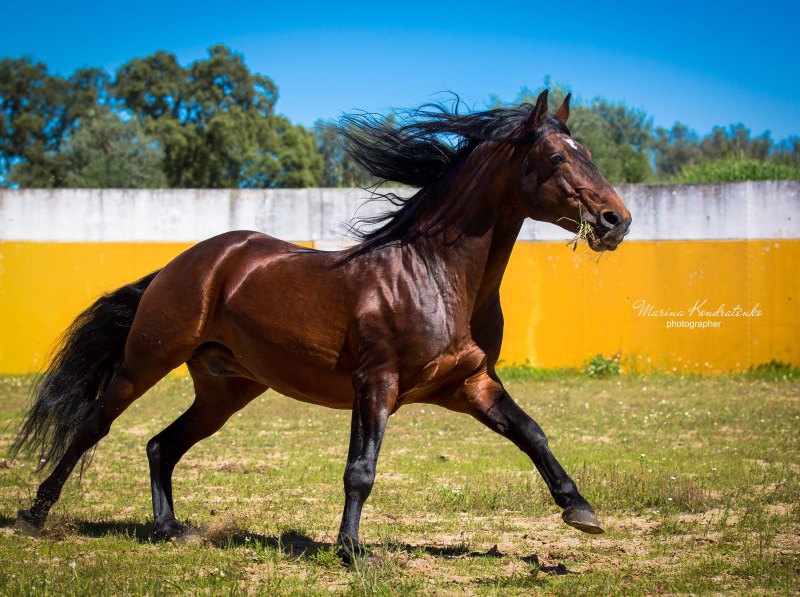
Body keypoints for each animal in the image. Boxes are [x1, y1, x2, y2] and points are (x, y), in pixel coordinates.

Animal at [9, 89, 628, 564]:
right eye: (555, 158)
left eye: (588, 154)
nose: (615, 220)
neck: (434, 272)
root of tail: (186, 262)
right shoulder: (376, 383)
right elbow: (361, 469)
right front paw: (352, 550)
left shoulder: (470, 384)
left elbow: (531, 432)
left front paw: (581, 510)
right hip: (145, 362)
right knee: (92, 426)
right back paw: (35, 514)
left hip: (226, 390)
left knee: (162, 445)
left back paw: (169, 529)